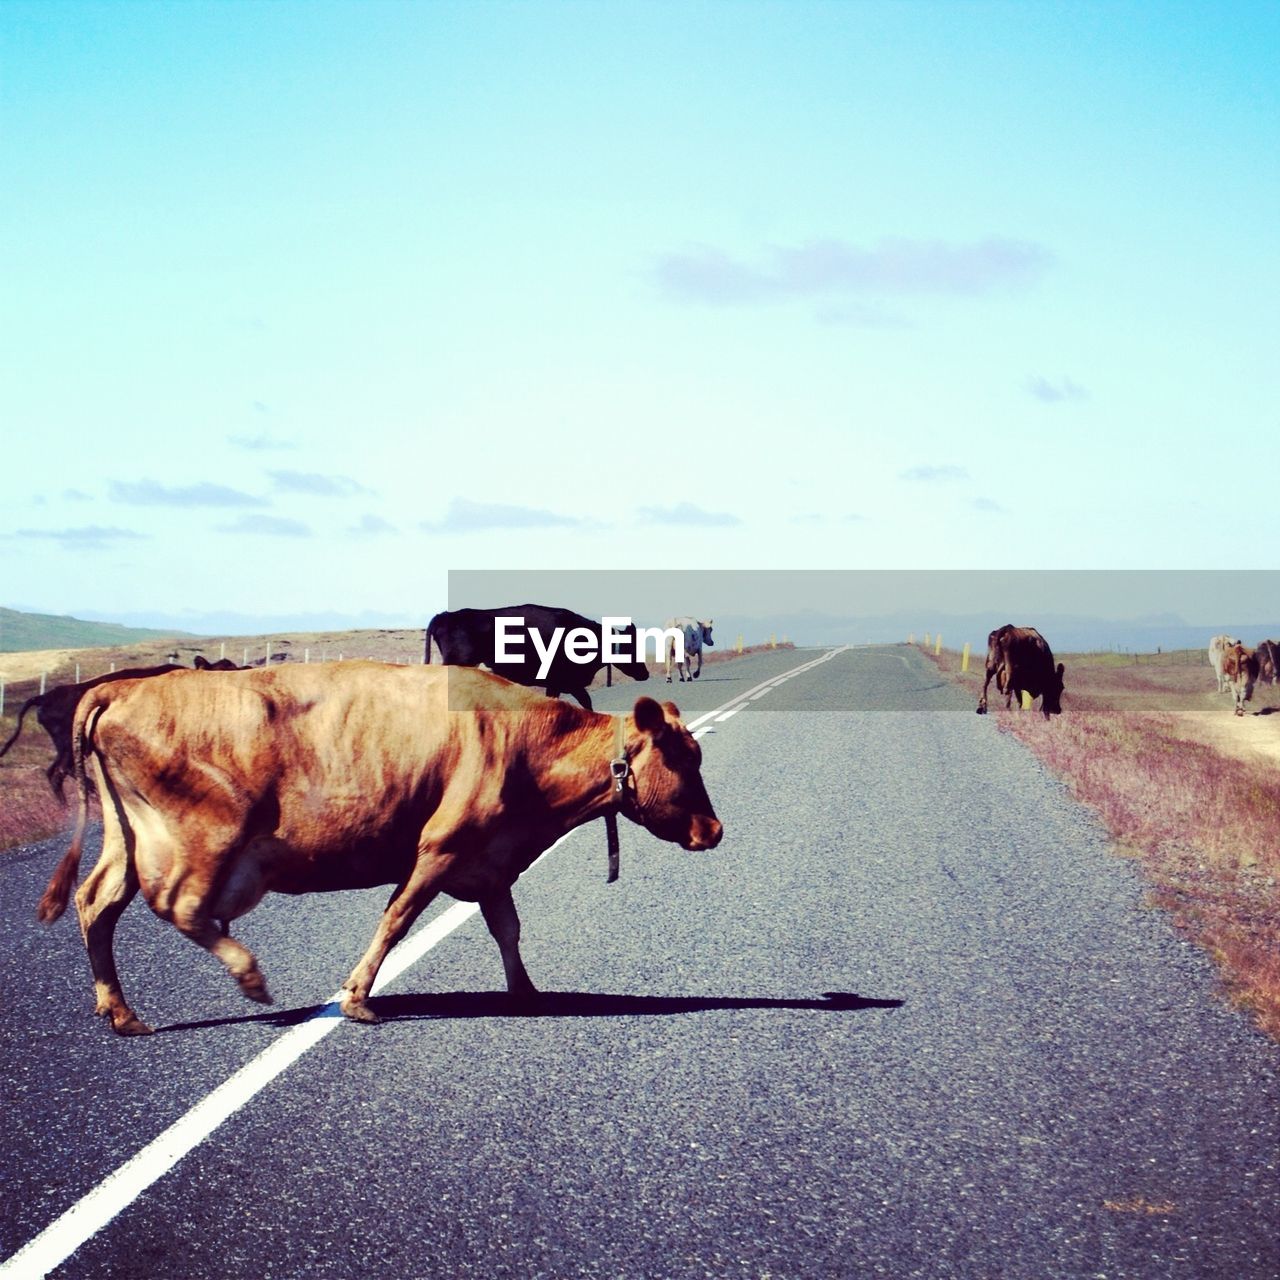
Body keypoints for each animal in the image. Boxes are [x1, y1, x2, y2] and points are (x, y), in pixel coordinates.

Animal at [37, 665, 721, 1034]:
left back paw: (121, 1013)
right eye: (683, 759)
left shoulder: (488, 862)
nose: (715, 831)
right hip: (199, 838)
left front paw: (526, 993)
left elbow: (507, 927)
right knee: (179, 906)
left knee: (96, 903)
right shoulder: (440, 849)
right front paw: (358, 998)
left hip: (128, 839)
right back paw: (249, 977)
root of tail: (123, 689)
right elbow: (395, 920)